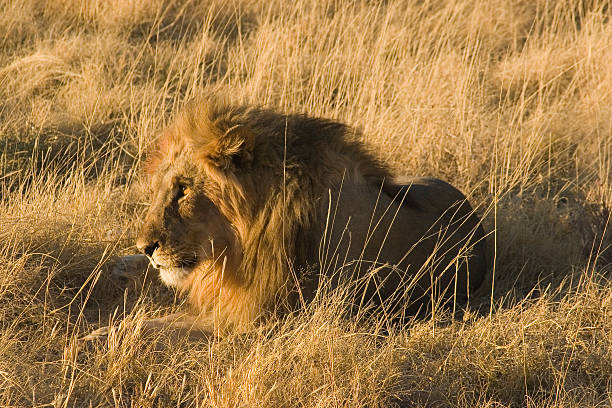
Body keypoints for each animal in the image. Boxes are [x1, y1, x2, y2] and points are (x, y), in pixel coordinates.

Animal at [81, 98, 488, 342]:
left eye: (183, 189)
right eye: (163, 188)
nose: (146, 246)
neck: (238, 245)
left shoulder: (264, 322)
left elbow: (158, 328)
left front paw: (96, 339)